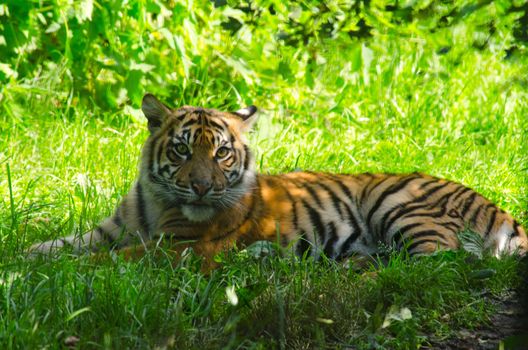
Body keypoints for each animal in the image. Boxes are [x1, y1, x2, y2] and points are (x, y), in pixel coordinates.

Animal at [29, 93, 528, 266]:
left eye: (222, 152)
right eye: (182, 149)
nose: (202, 187)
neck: (159, 201)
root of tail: (501, 209)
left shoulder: (180, 246)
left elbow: (106, 260)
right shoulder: (108, 230)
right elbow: (60, 245)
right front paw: (28, 256)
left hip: (398, 203)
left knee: (440, 262)